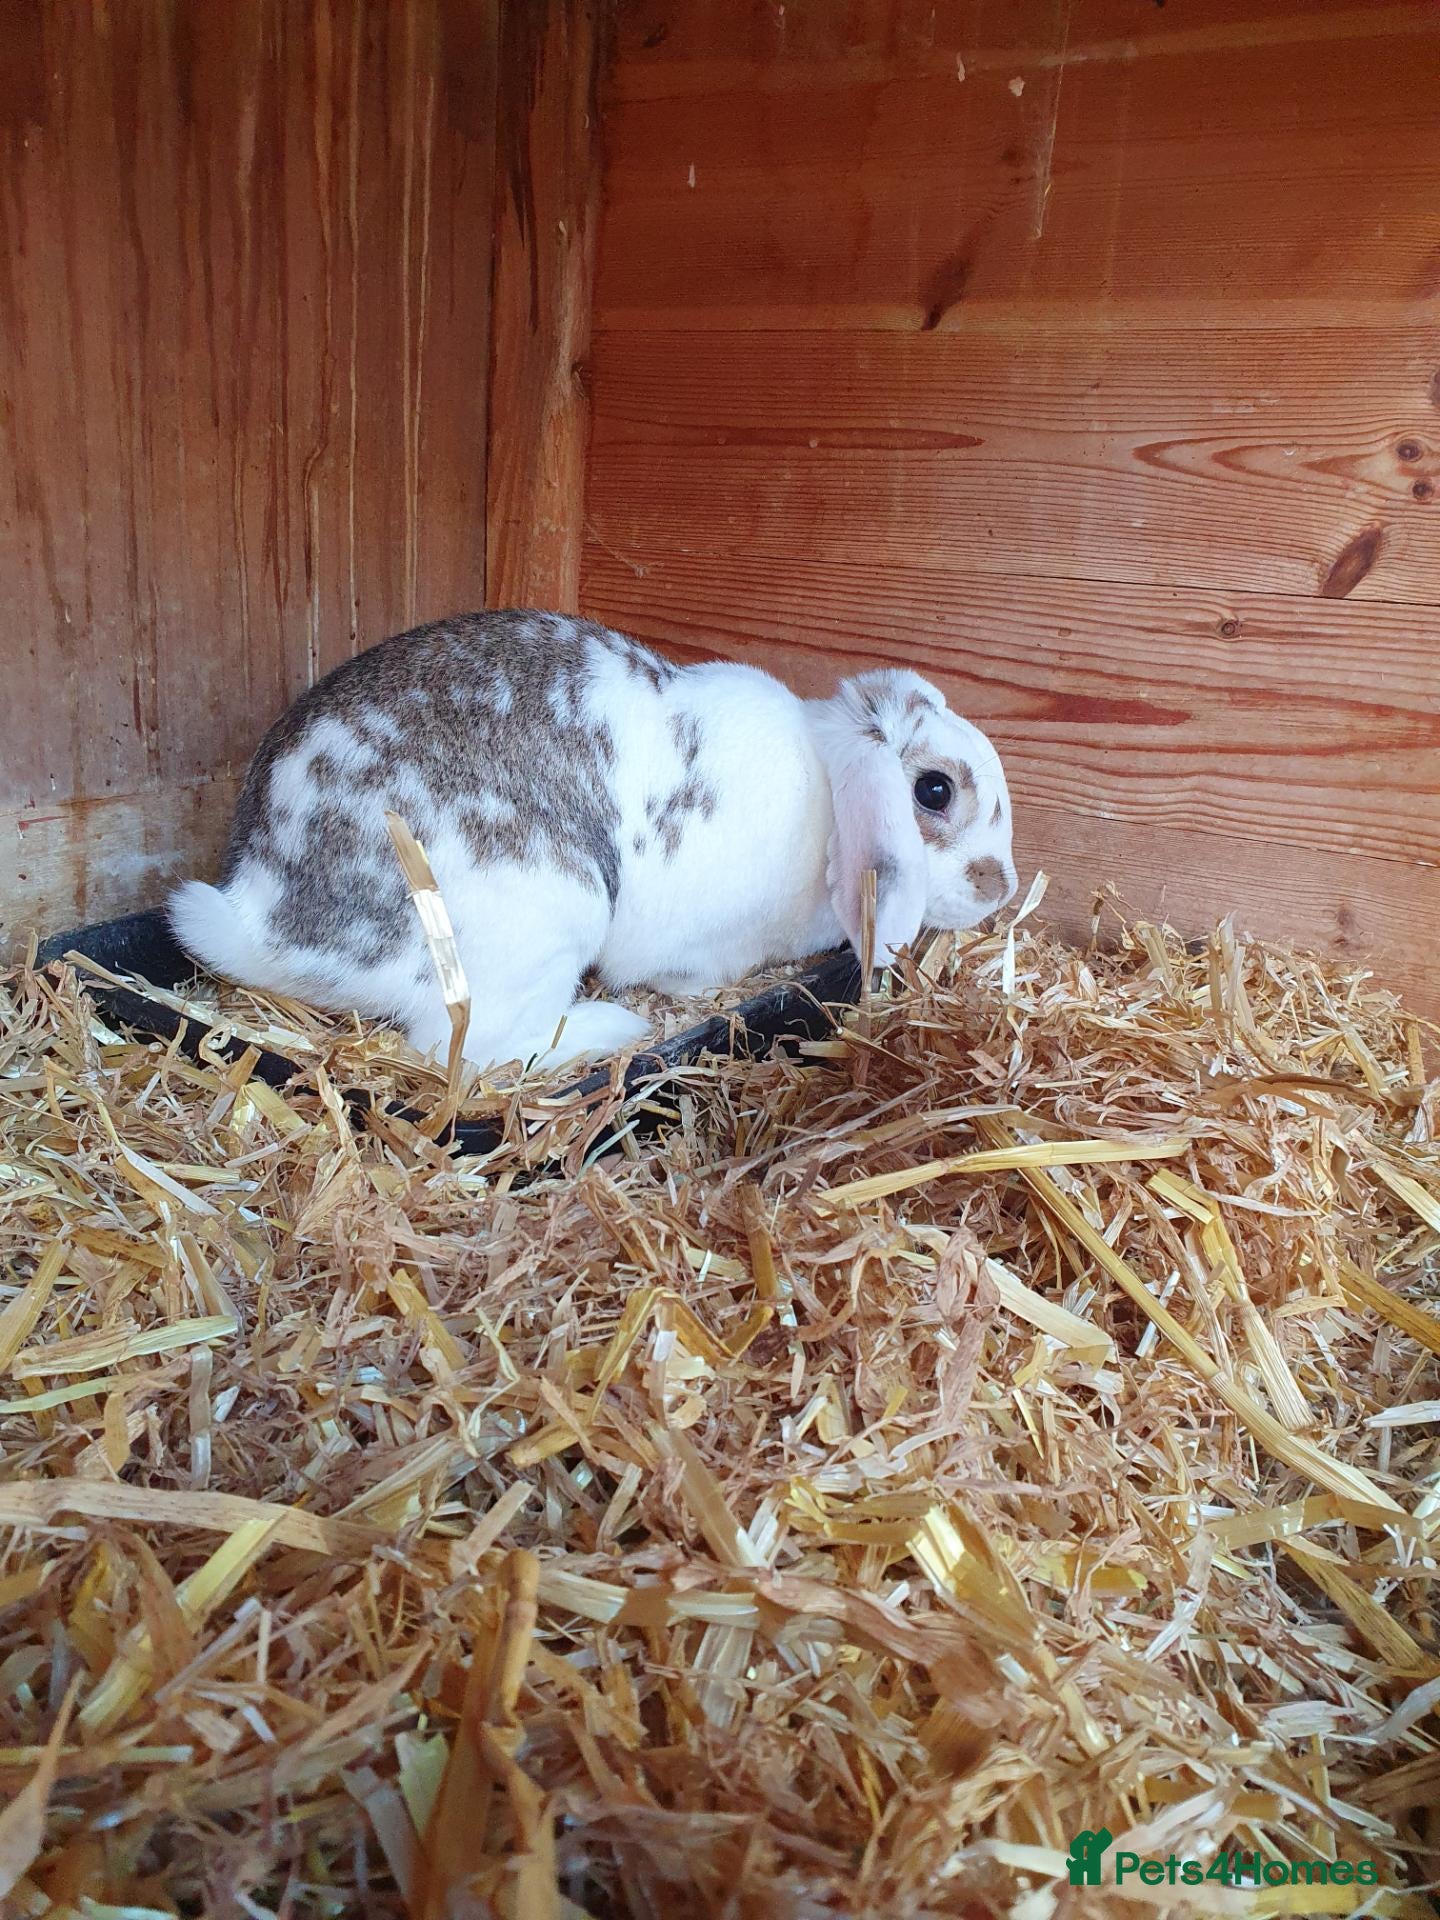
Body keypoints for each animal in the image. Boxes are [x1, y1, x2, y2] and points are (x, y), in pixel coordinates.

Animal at [168, 610, 1017, 1075]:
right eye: (934, 791)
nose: (1001, 886)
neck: (829, 790)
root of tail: (261, 919)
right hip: (549, 913)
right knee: (468, 1050)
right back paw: (613, 1029)